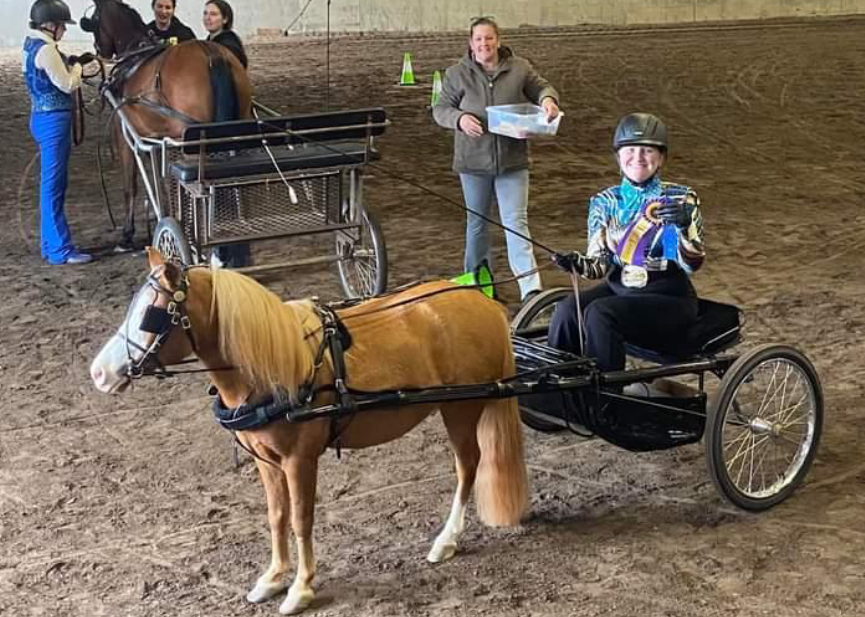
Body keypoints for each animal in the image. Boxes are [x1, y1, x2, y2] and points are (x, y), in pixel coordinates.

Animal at [80, 0, 253, 250]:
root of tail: (211, 53)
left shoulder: (126, 138)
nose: (99, 51)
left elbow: (131, 185)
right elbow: (159, 183)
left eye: (94, 20)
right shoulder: (154, 140)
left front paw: (127, 234)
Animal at [90, 248, 529, 615]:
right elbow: (277, 515)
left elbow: (301, 519)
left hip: (460, 409)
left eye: (151, 314)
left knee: (468, 467)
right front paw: (272, 578)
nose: (98, 373)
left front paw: (300, 588)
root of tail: (482, 300)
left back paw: (446, 540)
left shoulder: (299, 459)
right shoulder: (267, 461)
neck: (273, 366)